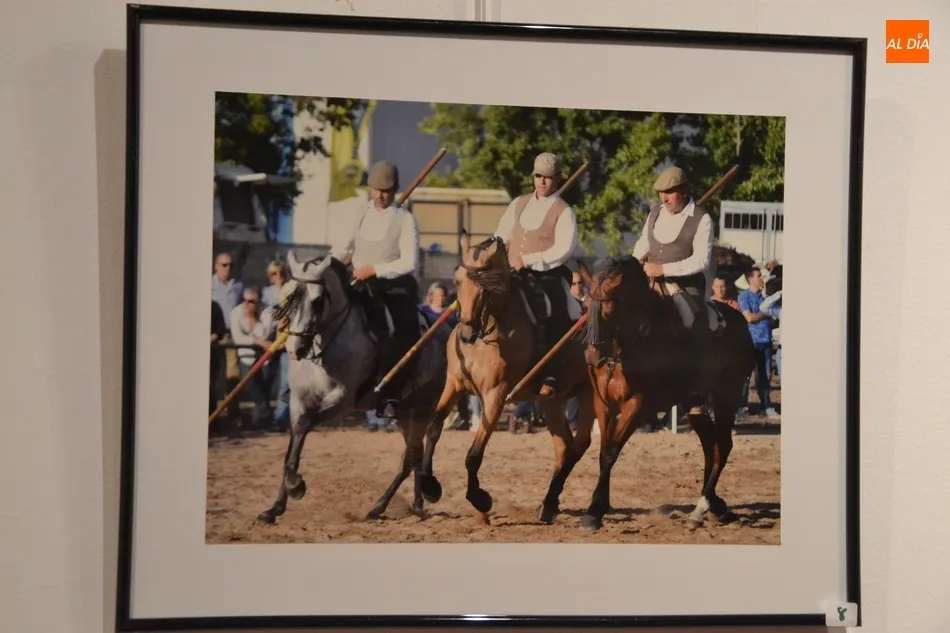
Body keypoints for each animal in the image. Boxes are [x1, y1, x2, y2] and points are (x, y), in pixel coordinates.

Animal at [255, 251, 453, 524]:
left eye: (317, 301)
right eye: (288, 296)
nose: (295, 348)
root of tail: (446, 332)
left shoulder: (342, 400)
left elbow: (307, 426)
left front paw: (296, 486)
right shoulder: (297, 403)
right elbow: (291, 450)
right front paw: (275, 508)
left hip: (426, 406)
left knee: (419, 448)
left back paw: (393, 501)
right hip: (405, 412)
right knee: (414, 452)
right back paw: (416, 505)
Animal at [422, 230, 597, 525]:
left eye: (487, 285)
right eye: (458, 280)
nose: (466, 335)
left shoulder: (496, 395)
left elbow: (473, 455)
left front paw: (480, 500)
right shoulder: (454, 386)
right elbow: (433, 427)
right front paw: (429, 487)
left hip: (590, 396)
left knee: (579, 445)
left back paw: (550, 504)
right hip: (552, 402)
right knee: (564, 447)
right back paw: (549, 505)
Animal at [576, 255, 756, 531]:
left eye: (609, 309)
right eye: (585, 307)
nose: (592, 357)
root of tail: (742, 325)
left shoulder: (637, 404)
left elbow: (610, 452)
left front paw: (594, 511)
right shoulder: (603, 402)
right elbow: (603, 450)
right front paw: (596, 509)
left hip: (727, 395)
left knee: (723, 446)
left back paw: (702, 508)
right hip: (694, 403)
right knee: (710, 446)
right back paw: (715, 506)